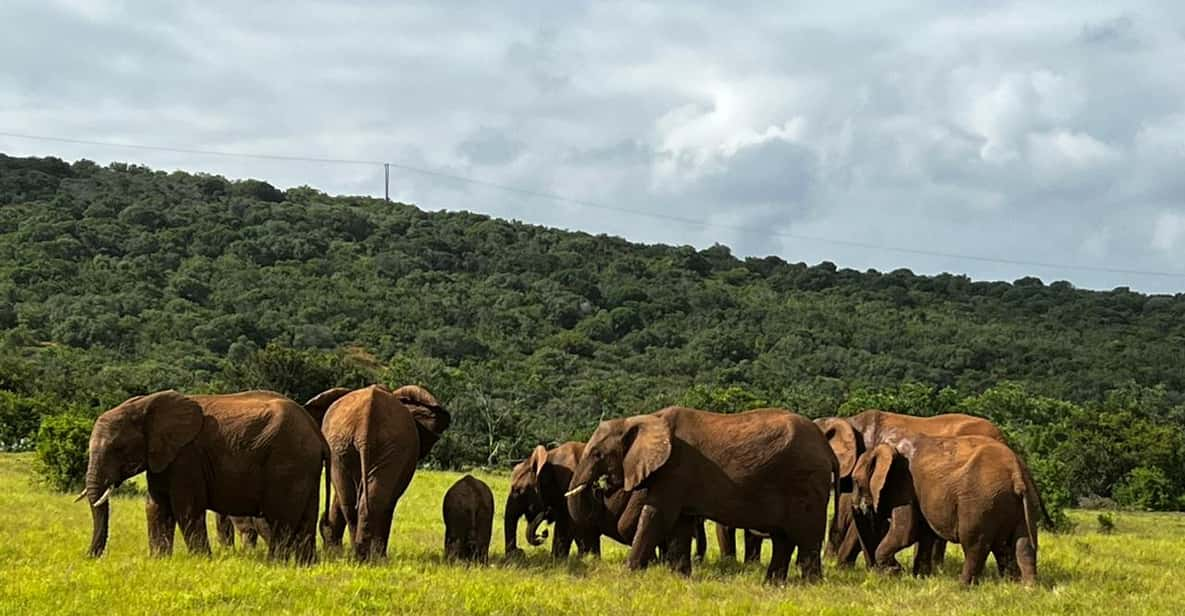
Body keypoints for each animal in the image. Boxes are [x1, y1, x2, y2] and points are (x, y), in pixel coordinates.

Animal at [78, 390, 327, 563]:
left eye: (119, 448)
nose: (88, 557)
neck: (145, 404)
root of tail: (317, 432)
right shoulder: (163, 458)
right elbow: (156, 506)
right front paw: (159, 560)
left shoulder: (186, 457)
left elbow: (185, 507)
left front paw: (201, 560)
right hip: (305, 466)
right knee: (306, 518)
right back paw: (305, 565)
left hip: (288, 461)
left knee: (279, 518)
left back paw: (275, 563)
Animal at [315, 381, 447, 561]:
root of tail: (365, 419)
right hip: (360, 446)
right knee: (372, 501)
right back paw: (368, 556)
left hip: (345, 446)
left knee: (353, 501)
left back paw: (361, 555)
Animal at [561, 409, 834, 582]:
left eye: (597, 454)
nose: (601, 487)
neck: (643, 419)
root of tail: (826, 446)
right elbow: (680, 523)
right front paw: (680, 578)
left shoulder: (675, 469)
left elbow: (656, 515)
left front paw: (630, 574)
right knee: (783, 538)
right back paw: (773, 584)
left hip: (806, 482)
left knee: (806, 535)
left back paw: (810, 584)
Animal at [853, 435, 1038, 585]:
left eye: (855, 481)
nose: (873, 573)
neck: (885, 446)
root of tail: (1016, 472)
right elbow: (925, 533)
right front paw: (919, 578)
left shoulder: (904, 485)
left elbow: (906, 532)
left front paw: (894, 572)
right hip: (1017, 501)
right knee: (1020, 544)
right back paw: (1023, 587)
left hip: (980, 502)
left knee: (974, 544)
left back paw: (962, 586)